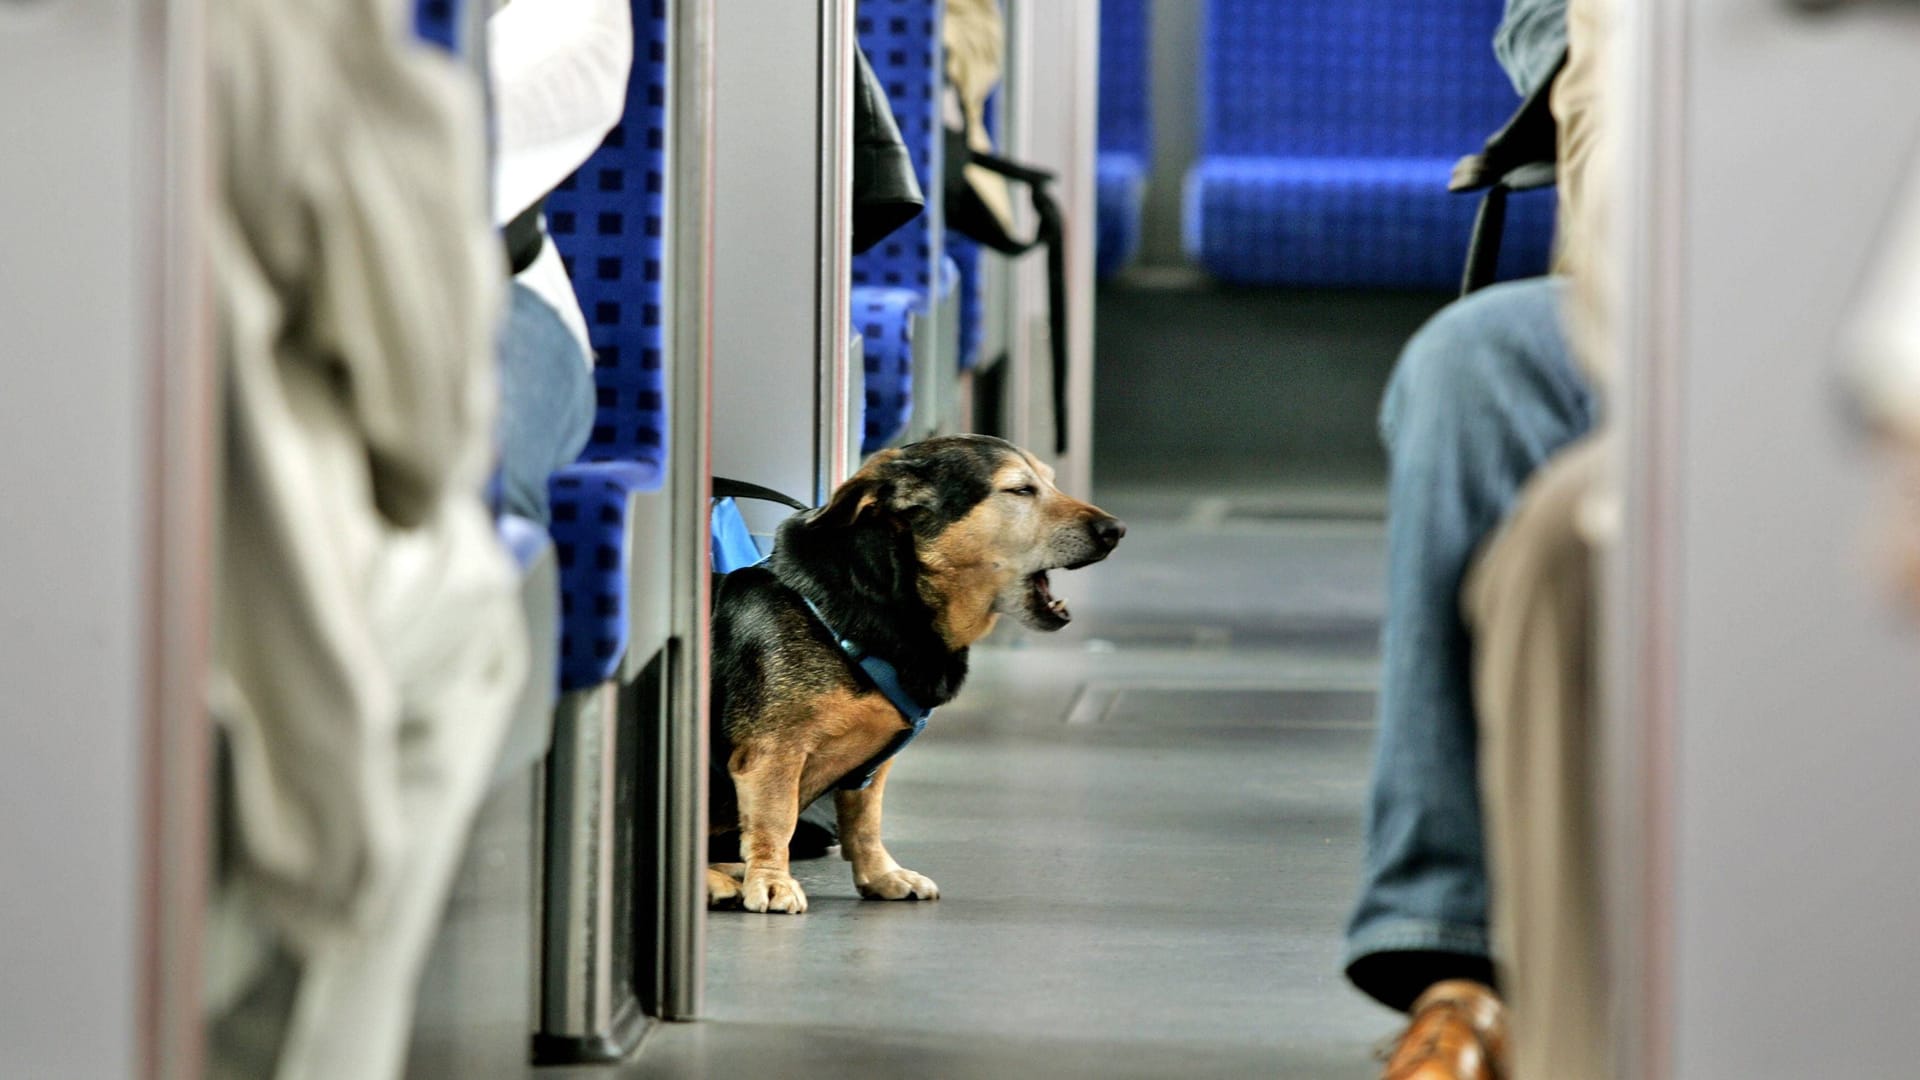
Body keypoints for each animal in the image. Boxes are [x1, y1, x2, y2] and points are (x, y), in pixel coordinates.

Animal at [706, 428, 1121, 907]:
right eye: (1020, 490)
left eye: (1051, 482)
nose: (1115, 530)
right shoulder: (773, 752)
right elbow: (776, 818)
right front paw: (773, 880)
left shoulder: (870, 771)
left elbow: (866, 823)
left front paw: (882, 875)